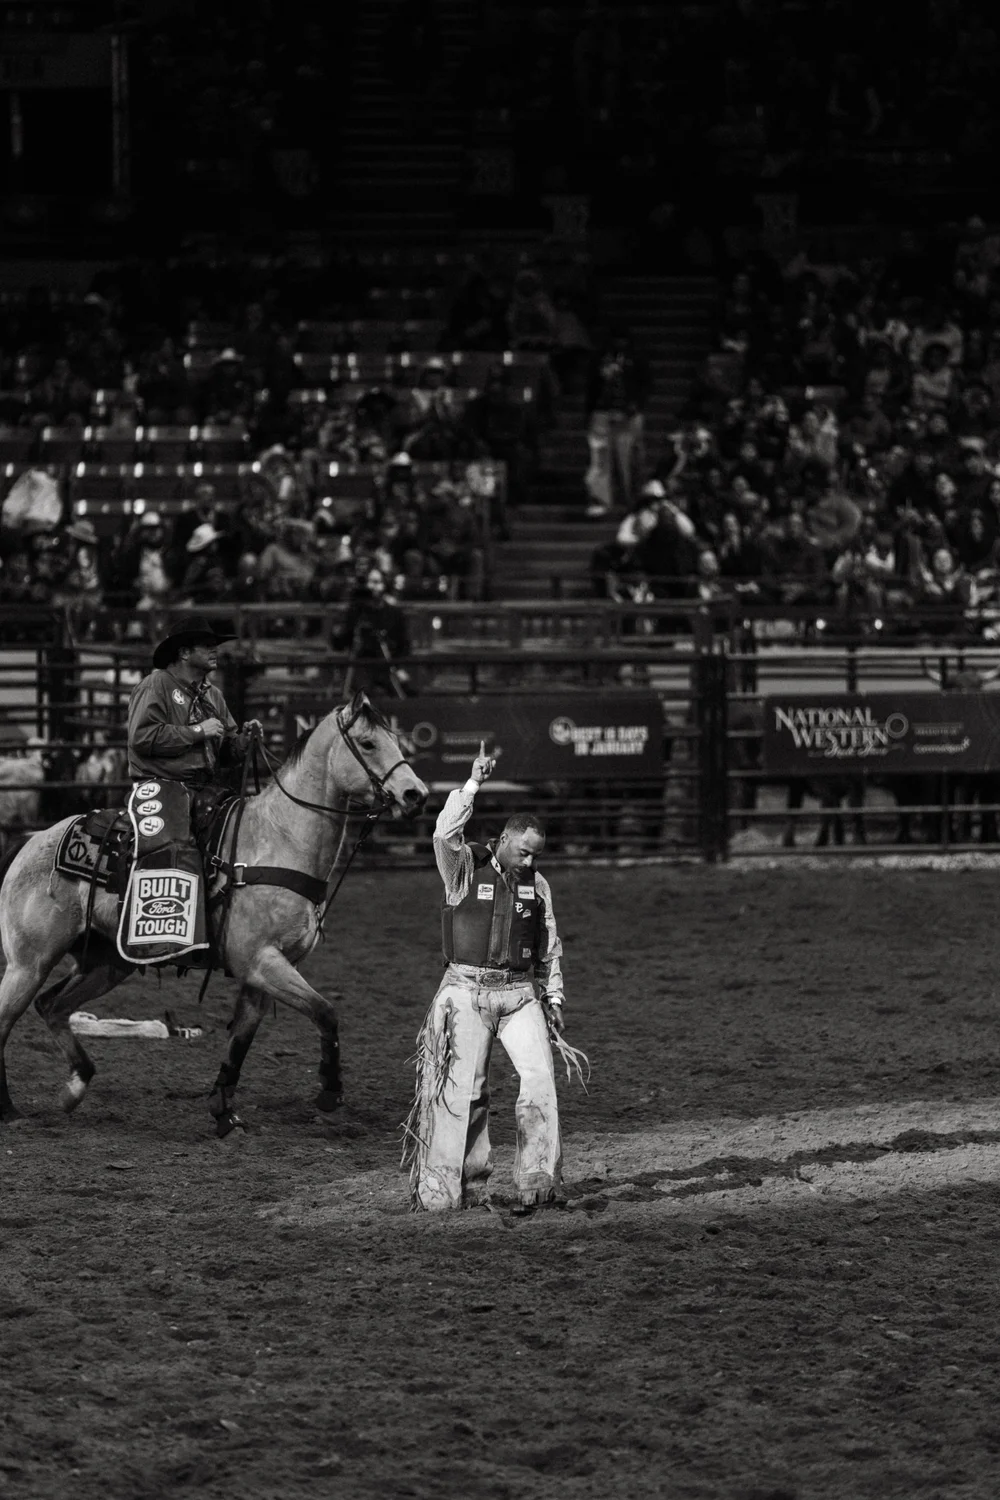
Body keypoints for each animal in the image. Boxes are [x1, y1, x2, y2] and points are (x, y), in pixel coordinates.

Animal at [0, 690, 425, 1134]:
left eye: (395, 738)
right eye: (368, 743)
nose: (416, 795)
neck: (280, 839)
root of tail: (32, 840)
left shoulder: (264, 970)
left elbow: (242, 1037)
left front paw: (223, 1108)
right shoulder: (261, 962)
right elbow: (326, 1012)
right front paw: (329, 1090)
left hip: (108, 963)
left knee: (52, 1006)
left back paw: (75, 1087)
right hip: (28, 964)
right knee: (7, 1020)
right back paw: (9, 1108)